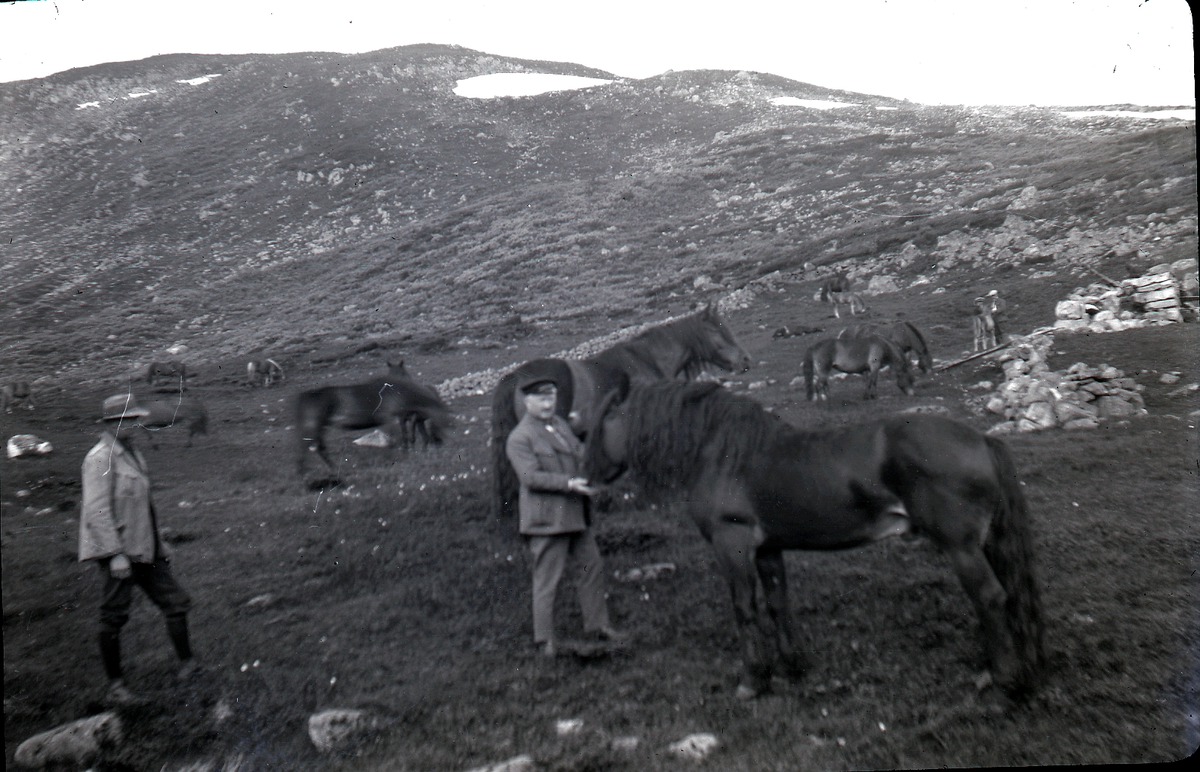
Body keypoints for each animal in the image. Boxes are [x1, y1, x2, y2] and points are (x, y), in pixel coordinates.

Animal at [297, 362, 451, 477]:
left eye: (402, 373)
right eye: (390, 374)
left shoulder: (407, 418)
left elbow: (408, 437)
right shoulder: (399, 419)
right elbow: (403, 438)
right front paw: (406, 455)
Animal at [585, 384, 1046, 705]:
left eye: (596, 426)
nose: (584, 481)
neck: (722, 453)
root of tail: (981, 440)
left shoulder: (732, 544)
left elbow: (744, 609)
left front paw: (753, 680)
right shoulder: (767, 549)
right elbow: (777, 603)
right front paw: (792, 667)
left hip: (961, 547)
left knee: (990, 597)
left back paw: (1005, 681)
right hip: (986, 543)